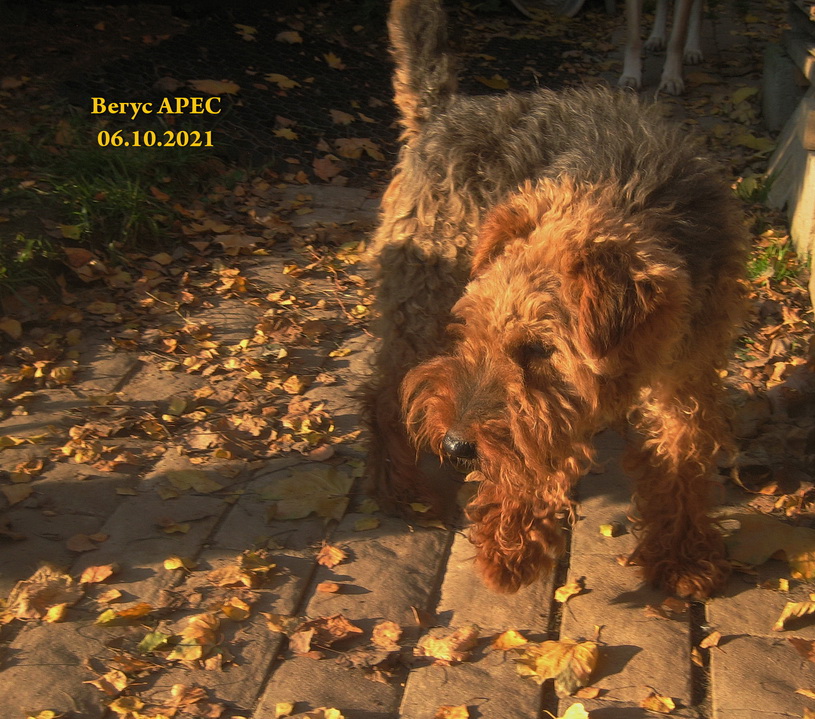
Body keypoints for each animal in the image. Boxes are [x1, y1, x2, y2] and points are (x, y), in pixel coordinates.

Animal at [362, 0, 747, 599]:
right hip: (419, 297)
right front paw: (510, 547)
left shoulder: (688, 375)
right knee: (381, 398)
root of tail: (442, 112)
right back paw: (401, 490)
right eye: (474, 330)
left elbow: (680, 462)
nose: (455, 446)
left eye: (541, 350)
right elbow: (529, 456)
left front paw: (683, 558)